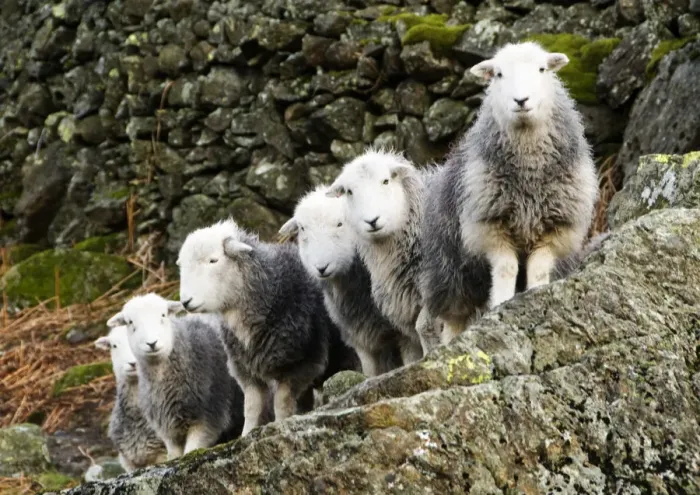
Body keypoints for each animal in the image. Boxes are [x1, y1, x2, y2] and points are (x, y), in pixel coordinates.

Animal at [106, 294, 244, 459]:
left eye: (163, 315)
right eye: (130, 322)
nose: (152, 343)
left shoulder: (207, 419)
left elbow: (191, 451)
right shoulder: (168, 432)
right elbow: (174, 455)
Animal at [177, 219, 360, 436]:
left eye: (213, 261)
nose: (186, 302)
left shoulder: (303, 364)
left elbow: (281, 402)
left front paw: (279, 425)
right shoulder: (247, 370)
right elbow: (252, 407)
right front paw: (246, 434)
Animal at [419, 41, 599, 344]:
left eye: (542, 69)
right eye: (499, 74)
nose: (521, 100)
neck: (529, 174)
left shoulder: (555, 228)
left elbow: (538, 270)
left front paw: (534, 296)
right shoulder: (491, 227)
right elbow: (506, 269)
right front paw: (501, 304)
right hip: (451, 272)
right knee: (455, 316)